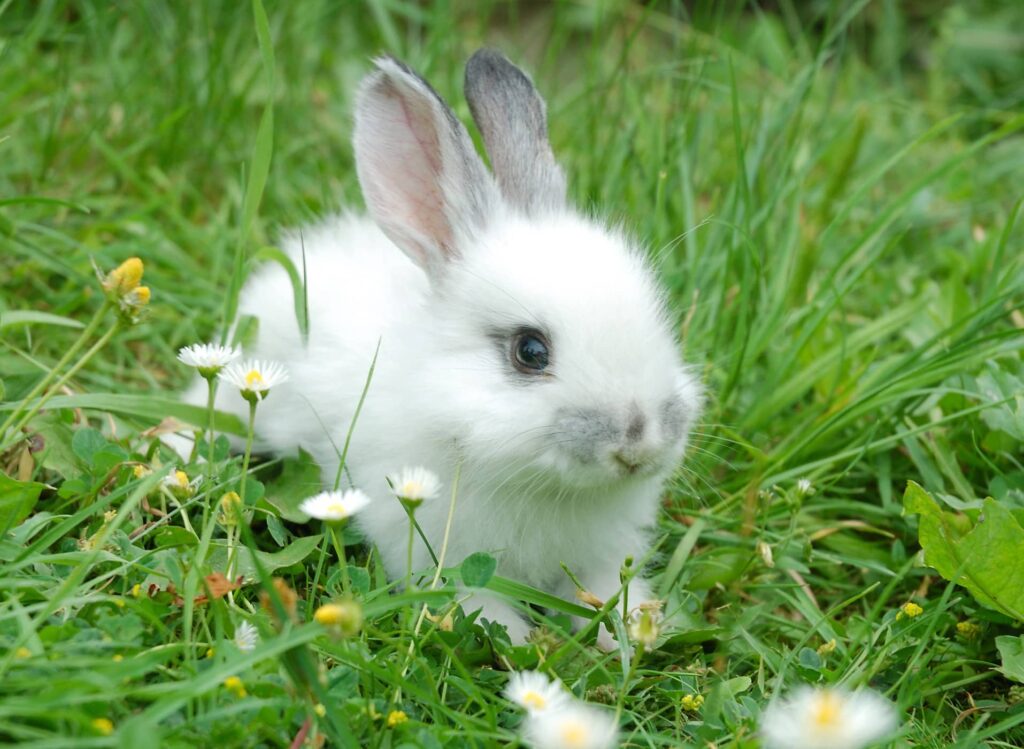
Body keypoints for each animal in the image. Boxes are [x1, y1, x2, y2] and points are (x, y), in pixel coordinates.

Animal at [184, 49, 703, 649]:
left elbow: (608, 592)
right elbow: (479, 603)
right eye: (530, 352)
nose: (640, 442)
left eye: (659, 318)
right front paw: (519, 646)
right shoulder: (439, 550)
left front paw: (635, 634)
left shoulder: (604, 555)